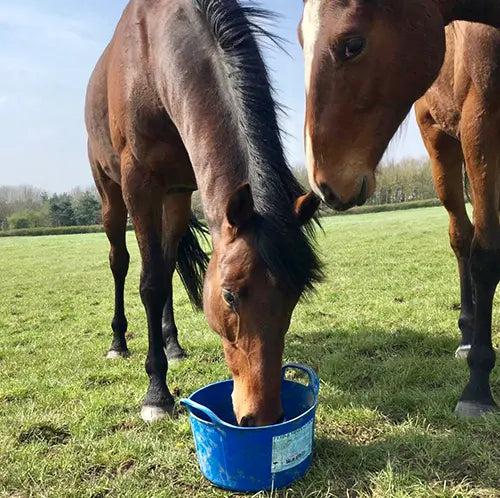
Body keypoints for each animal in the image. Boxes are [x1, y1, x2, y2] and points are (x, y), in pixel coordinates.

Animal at [85, 0, 320, 428]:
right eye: (228, 295)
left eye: (294, 296)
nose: (263, 417)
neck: (154, 58)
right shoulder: (138, 185)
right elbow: (149, 284)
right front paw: (157, 394)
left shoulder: (182, 189)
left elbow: (161, 275)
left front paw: (168, 352)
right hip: (110, 193)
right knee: (120, 262)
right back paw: (118, 342)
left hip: (174, 200)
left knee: (165, 264)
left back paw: (172, 344)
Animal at [300, 0, 500, 416]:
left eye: (352, 45)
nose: (323, 184)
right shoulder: (481, 123)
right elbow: (485, 255)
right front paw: (477, 387)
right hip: (441, 141)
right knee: (462, 236)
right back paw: (468, 335)